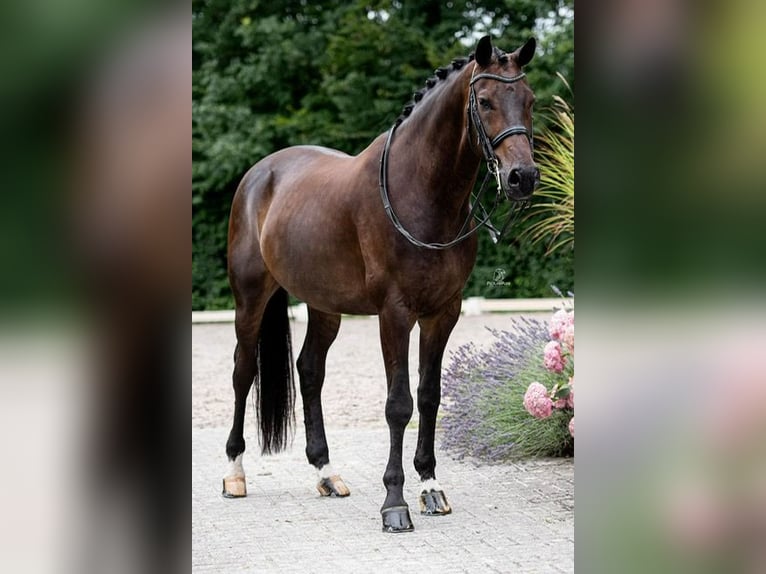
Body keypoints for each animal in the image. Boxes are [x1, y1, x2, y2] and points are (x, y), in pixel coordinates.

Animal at [220, 36, 540, 536]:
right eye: (485, 101)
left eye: (529, 101)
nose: (522, 178)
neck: (421, 193)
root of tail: (259, 175)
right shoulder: (395, 314)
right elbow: (398, 405)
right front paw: (395, 502)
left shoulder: (443, 313)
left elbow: (429, 397)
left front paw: (430, 486)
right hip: (251, 297)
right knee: (242, 372)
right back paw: (235, 473)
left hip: (324, 305)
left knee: (309, 370)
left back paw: (326, 473)